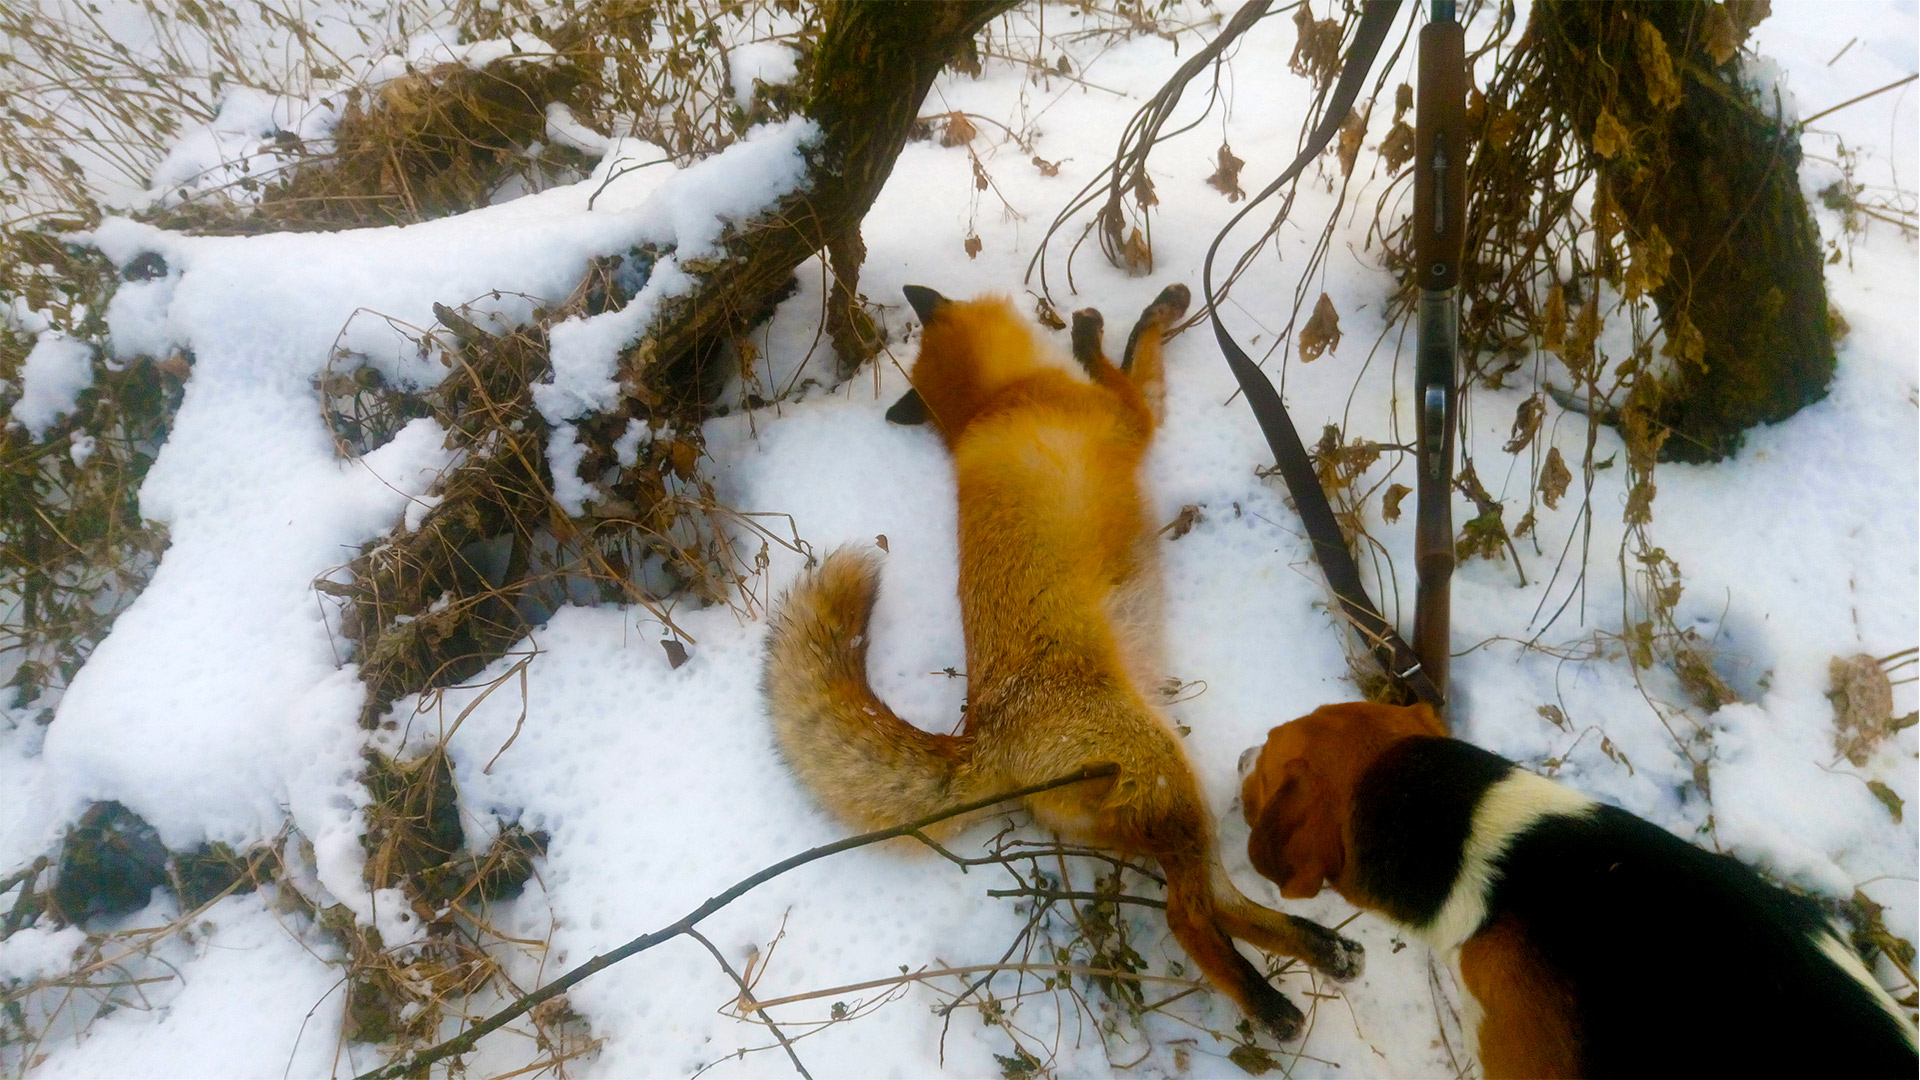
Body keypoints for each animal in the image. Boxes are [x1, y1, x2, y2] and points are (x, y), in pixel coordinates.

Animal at [764, 282, 1367, 1030]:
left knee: (1217, 900)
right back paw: (1271, 1004)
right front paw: (1116, 326)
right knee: (1188, 915)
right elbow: (1131, 365)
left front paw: (1115, 325)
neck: (998, 401)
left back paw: (1322, 952)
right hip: (1163, 773)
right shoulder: (1131, 417)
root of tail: (984, 735)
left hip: (1169, 794)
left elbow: (1133, 360)